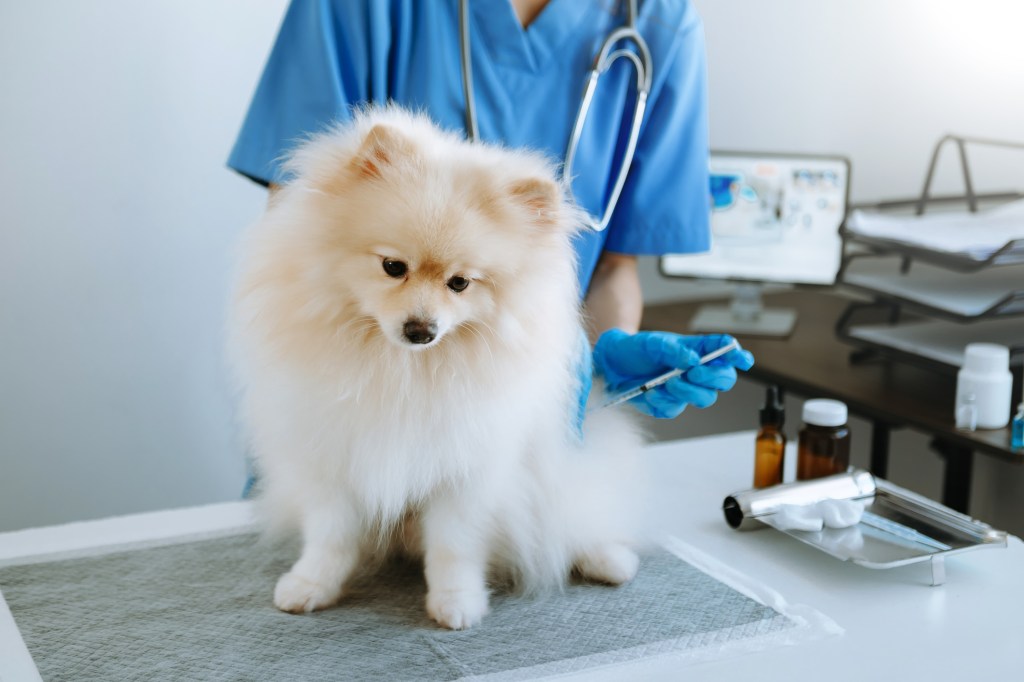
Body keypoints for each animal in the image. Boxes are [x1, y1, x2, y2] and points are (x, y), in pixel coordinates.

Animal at [232, 104, 647, 626]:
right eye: (393, 267)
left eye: (460, 283)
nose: (420, 329)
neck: (403, 370)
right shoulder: (334, 459)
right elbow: (331, 537)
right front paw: (311, 585)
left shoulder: (466, 470)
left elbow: (454, 545)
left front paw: (456, 601)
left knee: (578, 520)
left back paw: (609, 559)